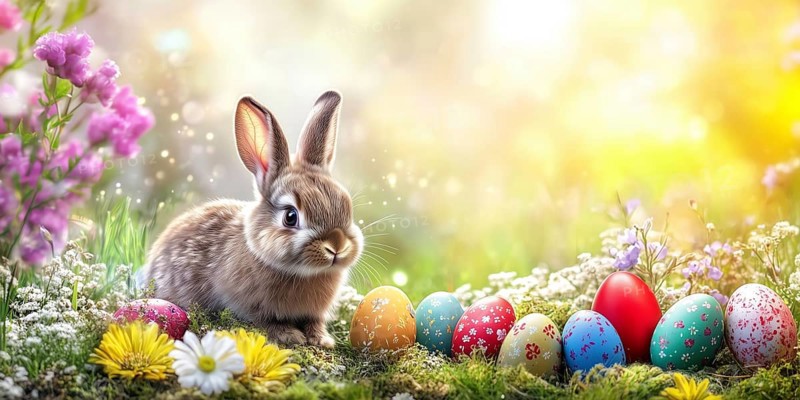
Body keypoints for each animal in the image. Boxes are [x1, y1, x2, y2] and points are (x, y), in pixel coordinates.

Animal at [145, 91, 363, 348]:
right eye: (290, 217)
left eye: (346, 206)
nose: (336, 246)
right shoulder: (246, 304)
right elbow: (266, 321)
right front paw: (290, 335)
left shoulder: (314, 313)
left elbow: (314, 322)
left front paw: (321, 339)